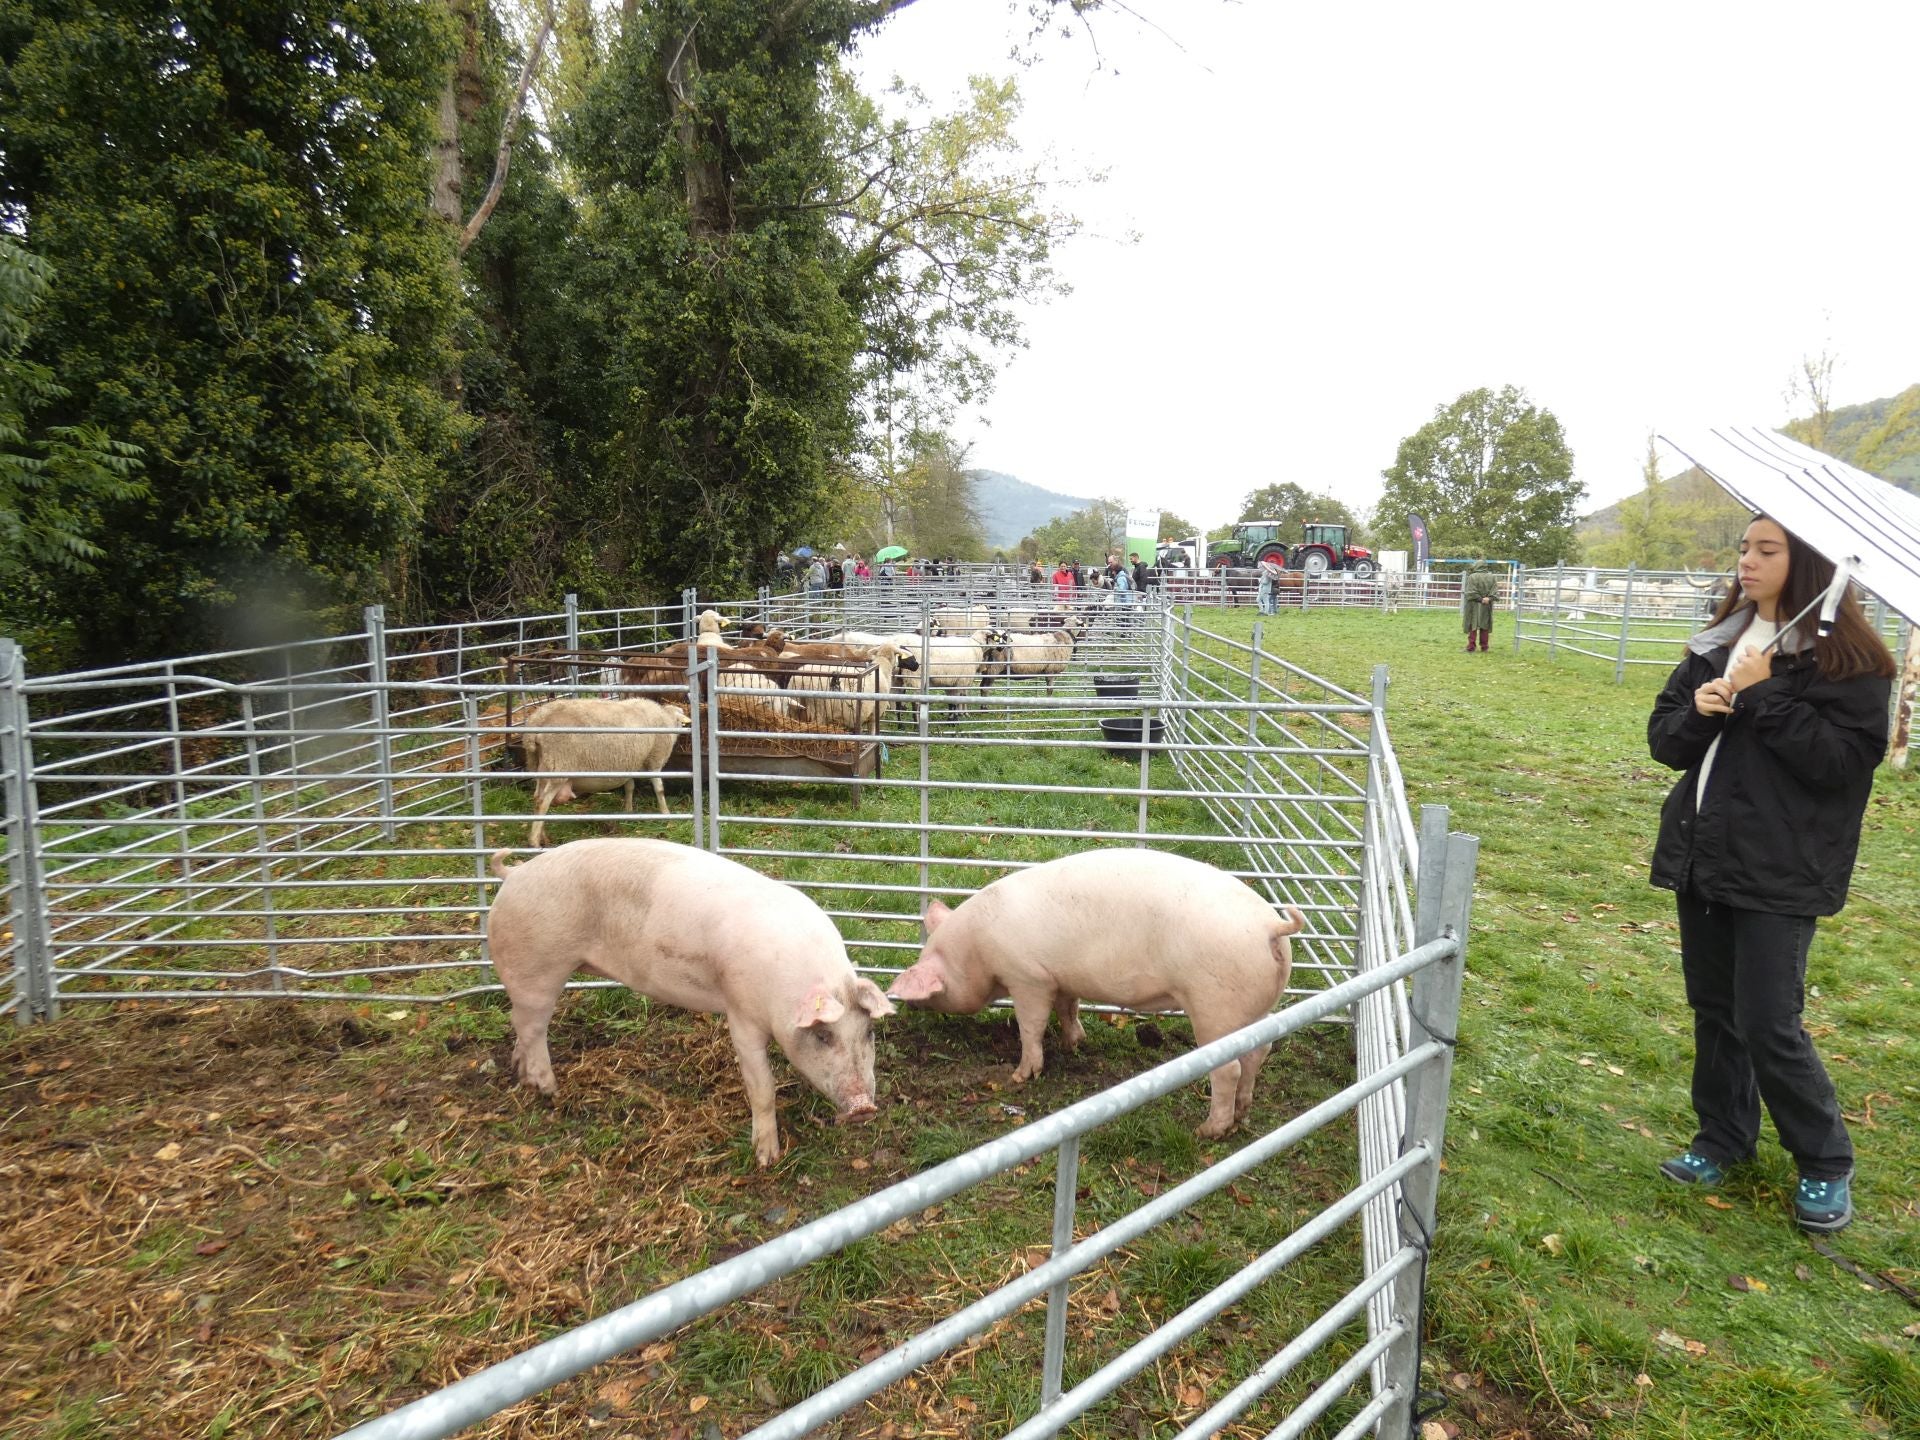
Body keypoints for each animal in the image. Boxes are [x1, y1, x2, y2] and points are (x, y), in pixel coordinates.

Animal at [487, 840, 890, 1167]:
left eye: (869, 1032)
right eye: (823, 1036)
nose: (864, 1107)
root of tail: (515, 874)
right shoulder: (741, 1014)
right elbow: (762, 1087)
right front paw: (766, 1158)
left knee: (518, 1024)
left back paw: (523, 1075)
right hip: (537, 969)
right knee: (530, 1027)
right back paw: (548, 1089)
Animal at [518, 695, 691, 852]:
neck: (666, 719)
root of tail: (537, 720)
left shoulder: (629, 763)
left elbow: (629, 787)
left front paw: (628, 810)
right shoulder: (654, 760)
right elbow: (659, 790)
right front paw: (667, 815)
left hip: (540, 764)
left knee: (536, 798)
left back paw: (543, 837)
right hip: (560, 765)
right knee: (542, 802)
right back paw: (534, 842)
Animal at [890, 852, 1313, 1144]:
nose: (908, 1007)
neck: (975, 947)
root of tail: (1270, 925)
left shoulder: (1028, 976)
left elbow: (1031, 1025)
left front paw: (1021, 1075)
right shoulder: (1061, 979)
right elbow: (1068, 1008)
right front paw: (1075, 1043)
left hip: (1215, 1007)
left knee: (1229, 1069)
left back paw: (1206, 1131)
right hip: (1257, 1009)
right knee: (1259, 1053)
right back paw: (1241, 1115)